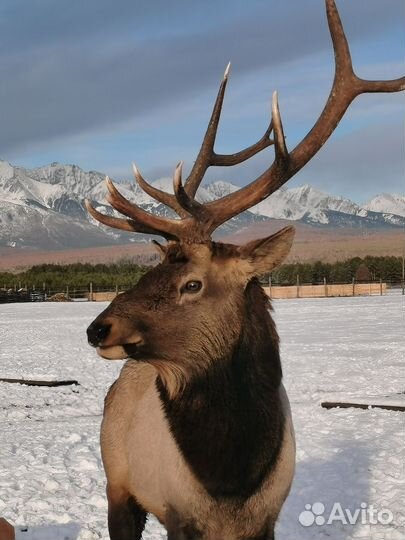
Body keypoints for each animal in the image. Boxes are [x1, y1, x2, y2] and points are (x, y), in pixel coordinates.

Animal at [83, 2, 402, 536]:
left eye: (192, 283)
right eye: (150, 272)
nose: (97, 327)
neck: (231, 479)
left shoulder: (268, 516)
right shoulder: (177, 514)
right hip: (117, 485)